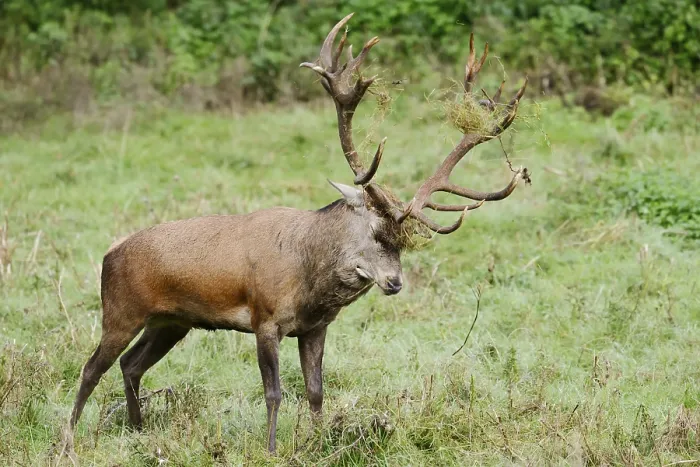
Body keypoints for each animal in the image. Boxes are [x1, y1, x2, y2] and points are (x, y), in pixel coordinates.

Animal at [68, 13, 529, 453]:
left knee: (131, 365)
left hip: (171, 322)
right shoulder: (265, 318)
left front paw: (320, 440)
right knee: (91, 367)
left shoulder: (314, 327)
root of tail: (109, 254)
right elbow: (274, 393)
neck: (307, 280)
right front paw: (272, 448)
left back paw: (137, 430)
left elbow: (315, 391)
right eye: (376, 232)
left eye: (403, 244)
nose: (395, 282)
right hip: (121, 310)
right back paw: (69, 437)